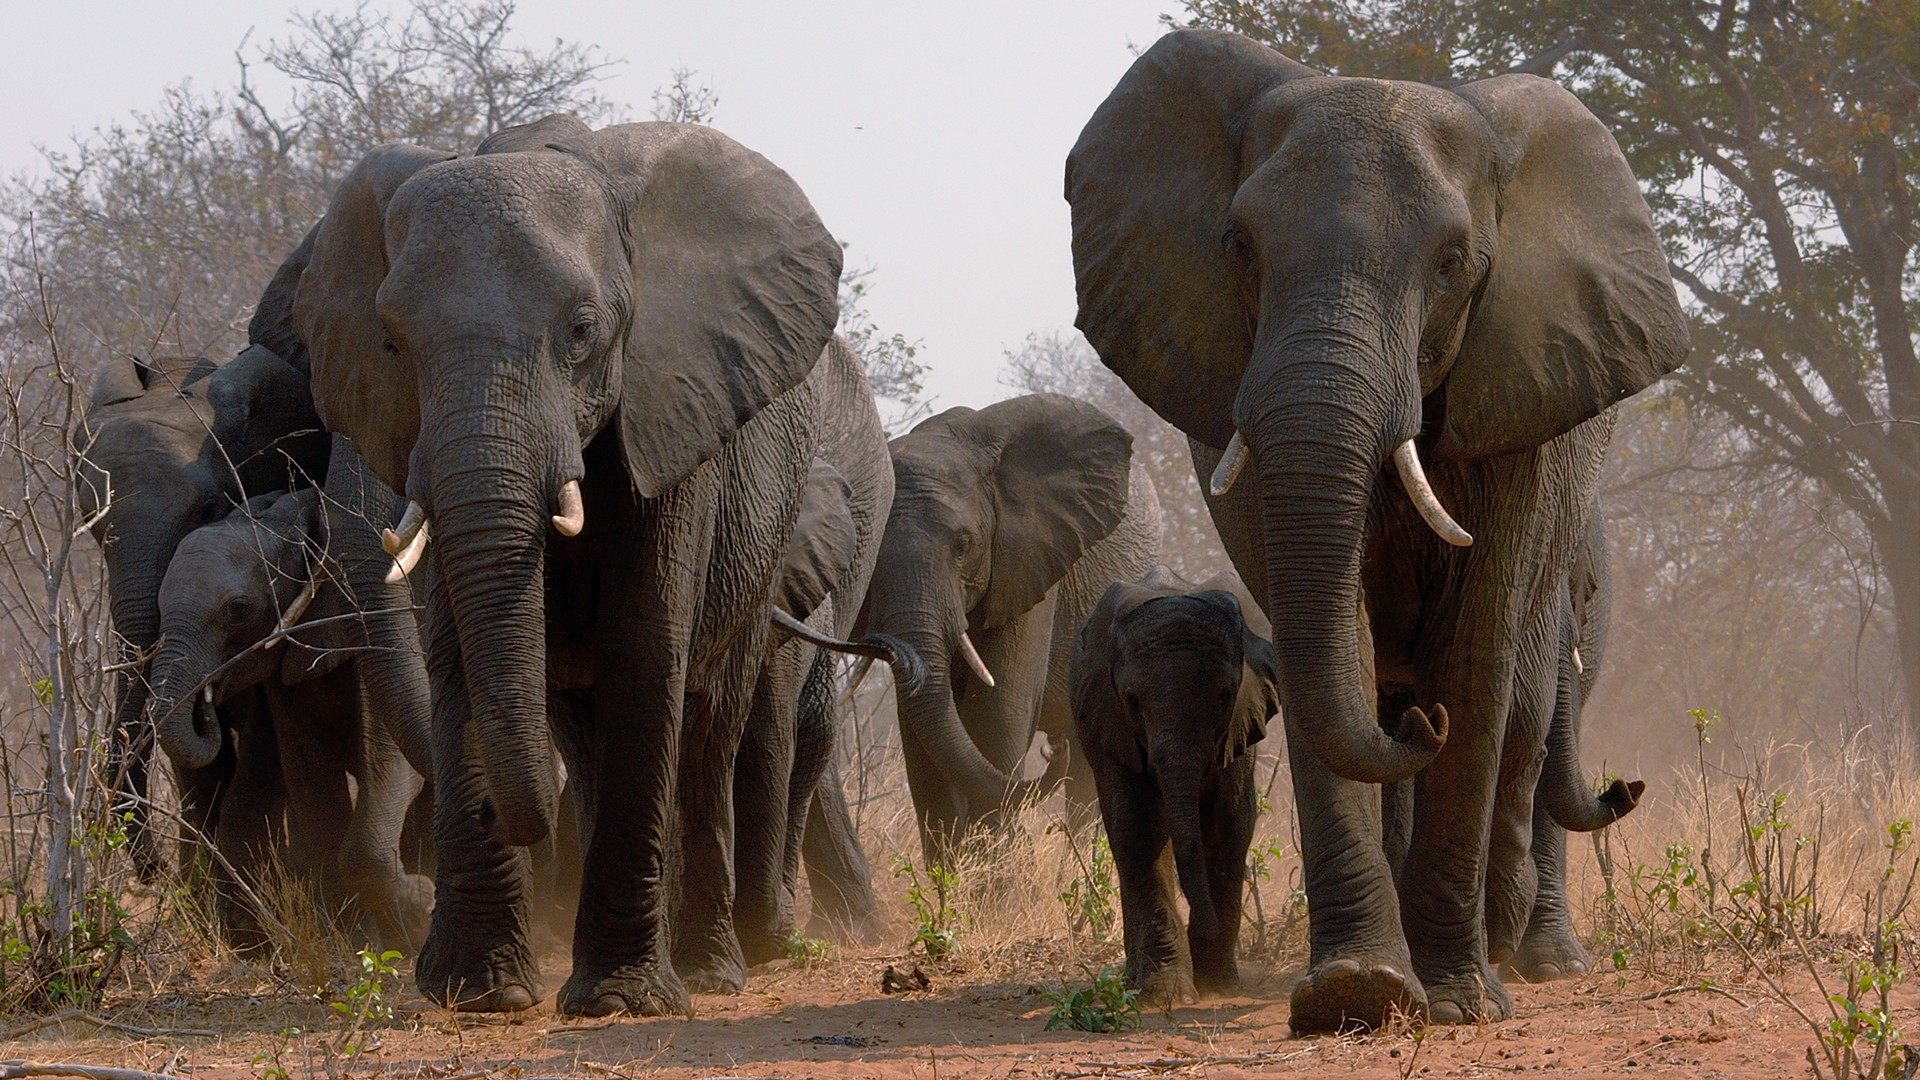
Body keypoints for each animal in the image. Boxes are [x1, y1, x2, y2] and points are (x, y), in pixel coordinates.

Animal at [145, 488, 432, 952]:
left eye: (238, 609)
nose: (206, 702)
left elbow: (390, 766)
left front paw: (419, 911)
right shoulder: (283, 666)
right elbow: (310, 778)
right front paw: (354, 942)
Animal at [284, 112, 894, 1016]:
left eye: (580, 331)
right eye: (392, 342)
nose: (511, 824)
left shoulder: (669, 407)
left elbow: (646, 644)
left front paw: (621, 1002)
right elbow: (457, 650)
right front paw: (480, 994)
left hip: (771, 530)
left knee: (713, 719)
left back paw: (712, 967)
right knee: (588, 721)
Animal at [863, 392, 1162, 866]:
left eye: (963, 545)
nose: (1050, 752)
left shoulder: (1032, 561)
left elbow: (998, 708)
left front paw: (994, 876)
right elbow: (919, 733)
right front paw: (957, 875)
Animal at [1070, 567, 1279, 1005]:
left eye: (1224, 697)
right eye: (1132, 700)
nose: (1201, 926)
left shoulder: (1238, 728)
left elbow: (1228, 824)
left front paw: (1217, 984)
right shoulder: (1112, 720)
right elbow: (1142, 826)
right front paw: (1167, 994)